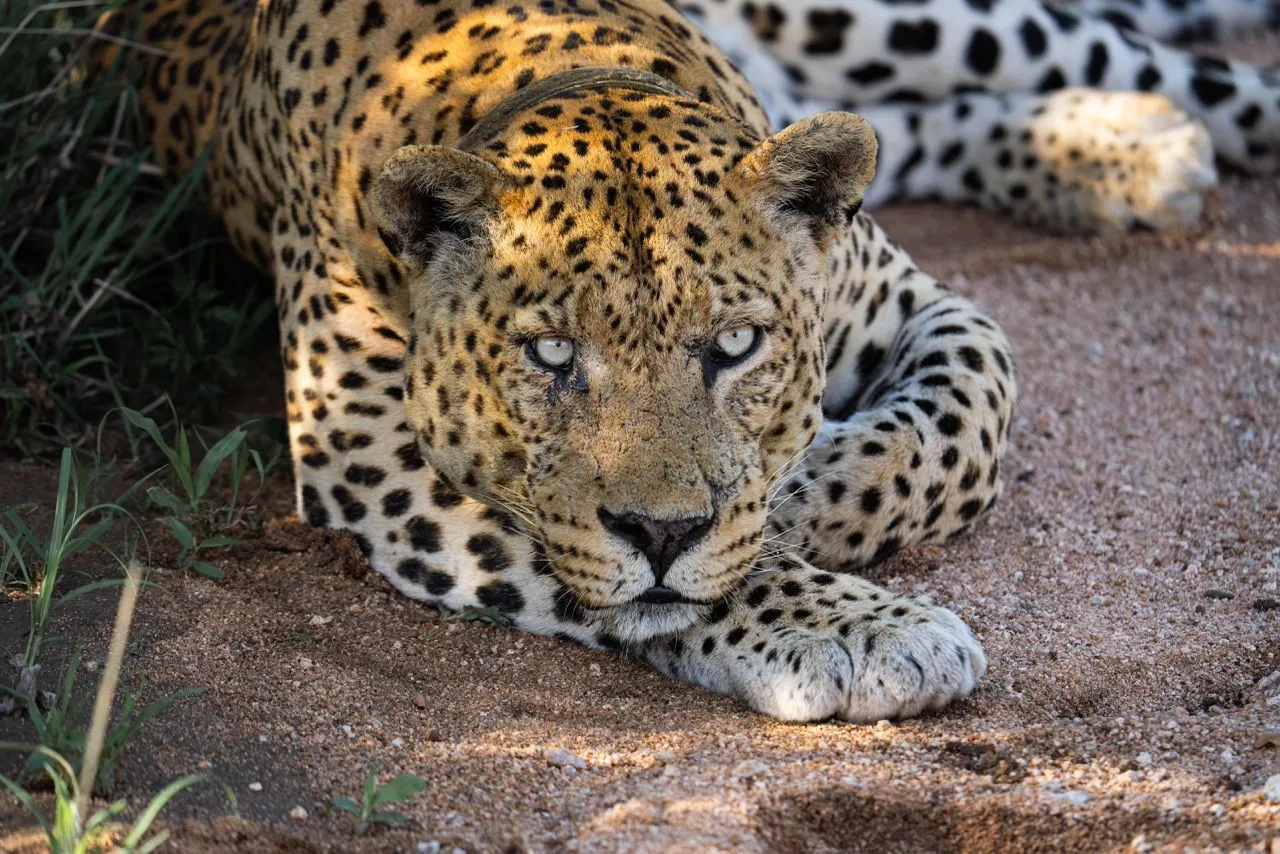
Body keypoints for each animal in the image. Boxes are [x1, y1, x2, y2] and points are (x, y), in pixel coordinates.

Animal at [111, 0, 1276, 722]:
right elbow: (623, 562)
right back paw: (1119, 151)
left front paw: (797, 496)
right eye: (550, 354)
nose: (667, 529)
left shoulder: (927, 306)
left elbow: (952, 434)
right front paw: (854, 626)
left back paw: (1133, 137)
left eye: (734, 345)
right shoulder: (368, 453)